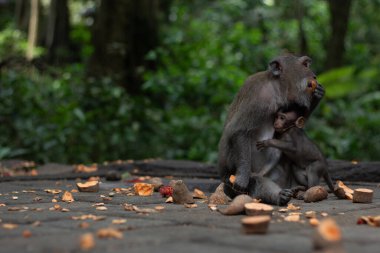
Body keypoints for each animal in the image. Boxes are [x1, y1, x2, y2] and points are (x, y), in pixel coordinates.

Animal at [217, 54, 324, 203]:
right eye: (304, 65)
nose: (314, 76)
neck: (276, 88)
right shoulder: (258, 96)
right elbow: (238, 130)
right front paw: (242, 178)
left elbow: (297, 121)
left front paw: (318, 95)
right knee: (256, 179)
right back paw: (278, 195)